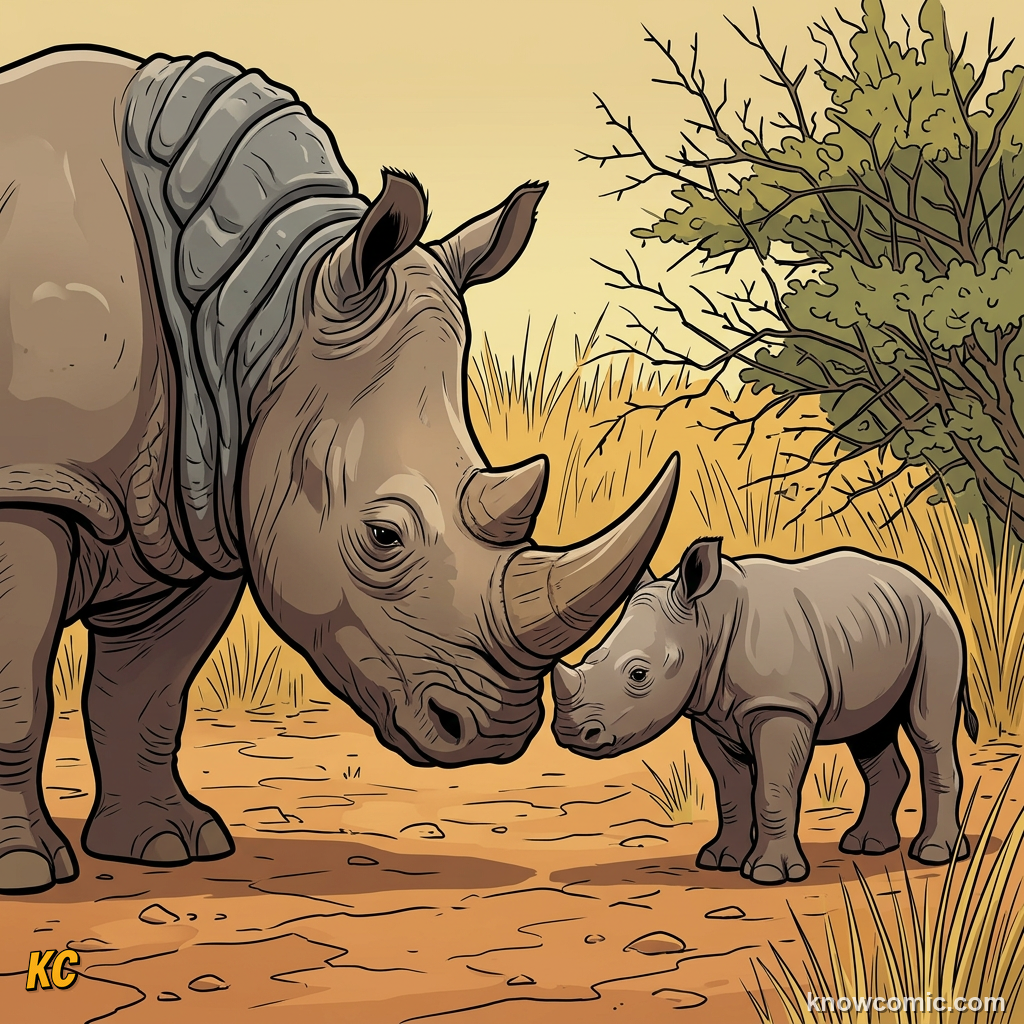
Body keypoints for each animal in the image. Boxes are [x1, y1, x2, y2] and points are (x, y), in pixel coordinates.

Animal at [0, 46, 679, 894]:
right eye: (384, 537)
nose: (496, 733)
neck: (252, 318)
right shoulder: (31, 484)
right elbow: (17, 693)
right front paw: (24, 872)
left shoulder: (199, 501)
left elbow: (146, 693)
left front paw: (168, 845)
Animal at [551, 538, 978, 884]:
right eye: (592, 656)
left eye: (639, 674)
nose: (571, 734)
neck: (707, 619)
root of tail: (928, 588)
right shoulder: (710, 716)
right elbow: (730, 790)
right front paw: (720, 860)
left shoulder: (781, 706)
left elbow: (773, 789)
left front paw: (770, 874)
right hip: (879, 630)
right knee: (869, 732)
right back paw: (866, 846)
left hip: (937, 630)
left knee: (929, 728)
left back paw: (934, 854)